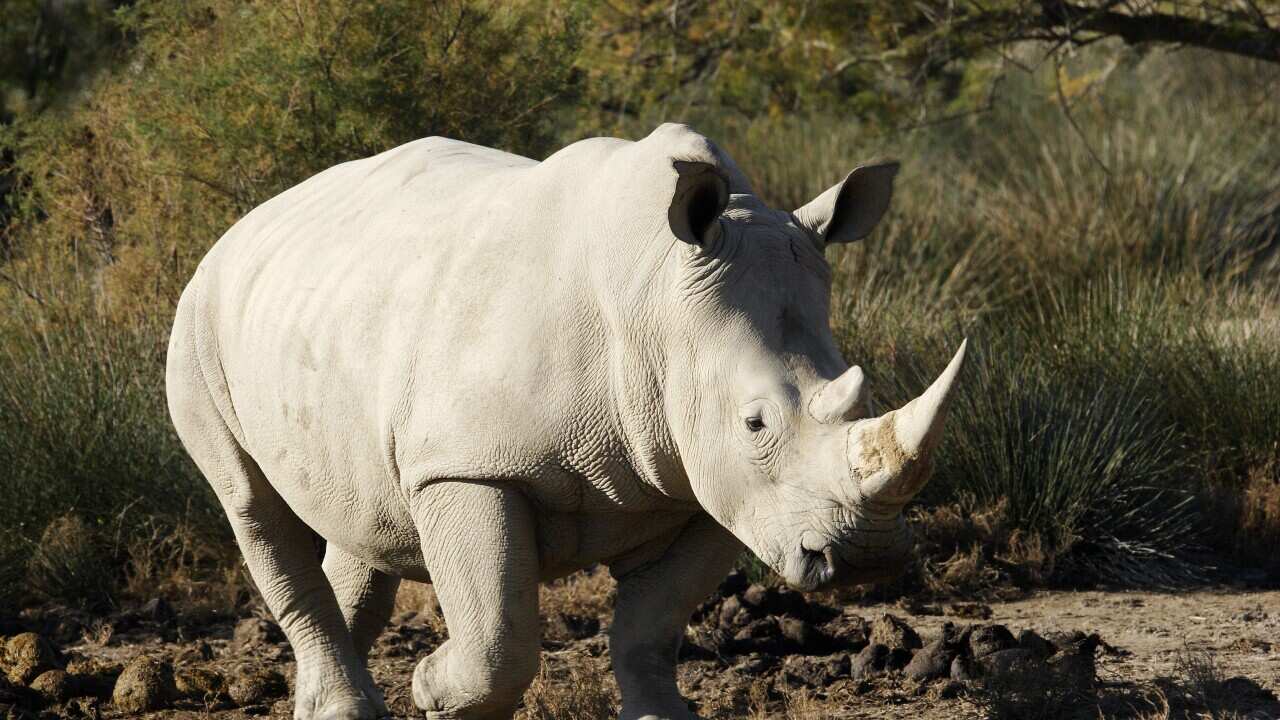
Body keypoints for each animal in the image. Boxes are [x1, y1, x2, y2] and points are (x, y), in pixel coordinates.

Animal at [166, 123, 967, 720]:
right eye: (755, 423)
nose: (867, 560)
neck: (658, 303)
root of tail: (243, 224)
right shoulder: (467, 466)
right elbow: (499, 634)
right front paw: (432, 688)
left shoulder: (715, 483)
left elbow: (650, 625)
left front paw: (661, 716)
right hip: (198, 320)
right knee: (252, 505)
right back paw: (348, 702)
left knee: (359, 517)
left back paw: (323, 705)